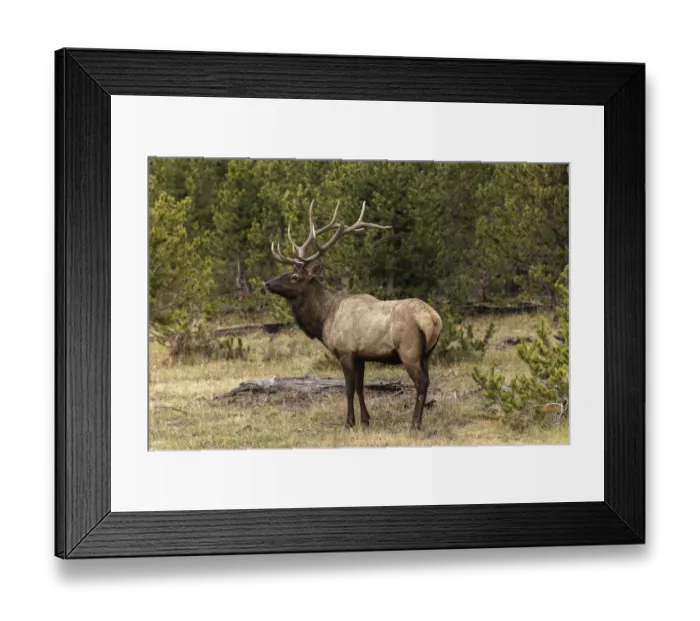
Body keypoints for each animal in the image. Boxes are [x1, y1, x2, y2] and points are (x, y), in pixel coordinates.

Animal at [264, 200, 442, 430]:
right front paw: (366, 420)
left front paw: (349, 422)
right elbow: (360, 386)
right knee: (427, 381)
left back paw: (414, 424)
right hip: (427, 353)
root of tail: (434, 319)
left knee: (421, 383)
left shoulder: (345, 351)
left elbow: (348, 388)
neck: (324, 319)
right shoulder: (361, 355)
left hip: (409, 351)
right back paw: (418, 422)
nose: (267, 283)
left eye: (294, 277)